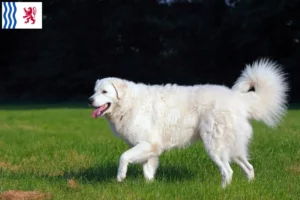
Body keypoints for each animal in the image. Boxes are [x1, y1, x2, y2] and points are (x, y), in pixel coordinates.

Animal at [88, 59, 288, 188]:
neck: (129, 102)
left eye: (104, 92)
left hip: (214, 147)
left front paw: (120, 176)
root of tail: (238, 98)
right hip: (233, 149)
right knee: (249, 168)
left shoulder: (147, 144)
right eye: (95, 91)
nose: (90, 100)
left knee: (228, 171)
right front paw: (149, 187)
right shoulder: (150, 149)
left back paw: (222, 191)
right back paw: (249, 185)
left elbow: (123, 157)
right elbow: (148, 171)